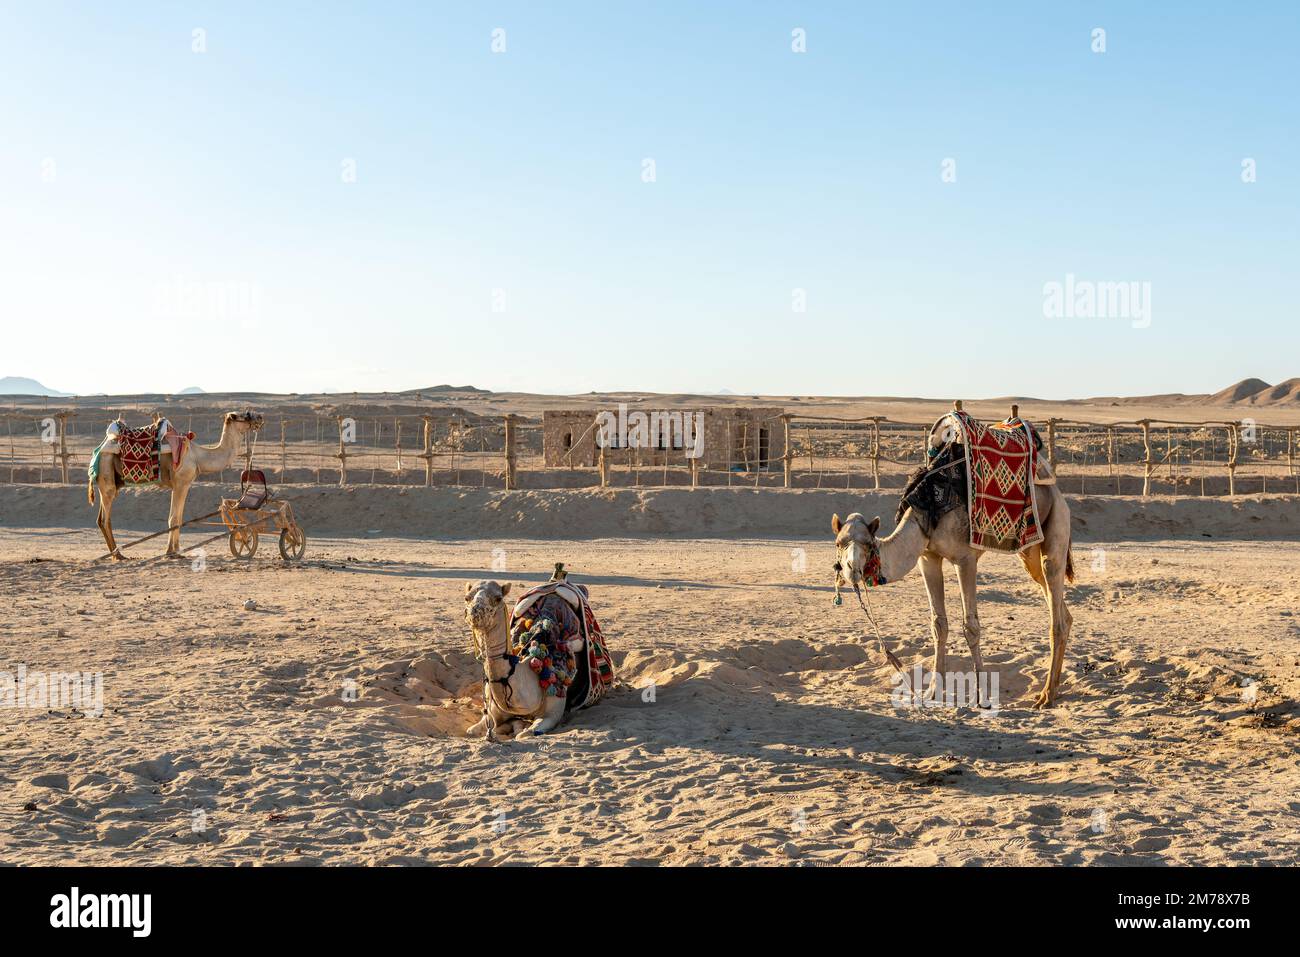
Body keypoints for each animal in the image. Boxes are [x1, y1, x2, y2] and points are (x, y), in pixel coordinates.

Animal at [89, 410, 263, 561]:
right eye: (243, 415)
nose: (260, 417)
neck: (198, 456)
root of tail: (99, 450)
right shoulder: (181, 483)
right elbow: (174, 519)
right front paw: (172, 552)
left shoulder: (182, 485)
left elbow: (177, 517)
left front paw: (175, 551)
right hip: (107, 476)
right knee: (105, 519)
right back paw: (118, 555)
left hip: (111, 483)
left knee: (100, 519)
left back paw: (117, 554)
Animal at [467, 574, 569, 738]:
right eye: (467, 598)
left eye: (498, 598)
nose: (476, 612)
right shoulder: (493, 710)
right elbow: (474, 729)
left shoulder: (553, 712)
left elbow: (525, 733)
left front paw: (517, 729)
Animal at [832, 408, 1076, 702]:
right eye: (839, 542)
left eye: (868, 544)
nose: (851, 569)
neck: (925, 507)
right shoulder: (927, 558)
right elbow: (939, 624)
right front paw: (933, 691)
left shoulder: (965, 559)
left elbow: (971, 626)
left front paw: (982, 694)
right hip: (1029, 551)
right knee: (1061, 609)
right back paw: (1054, 687)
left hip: (1056, 526)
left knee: (1056, 612)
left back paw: (1046, 695)